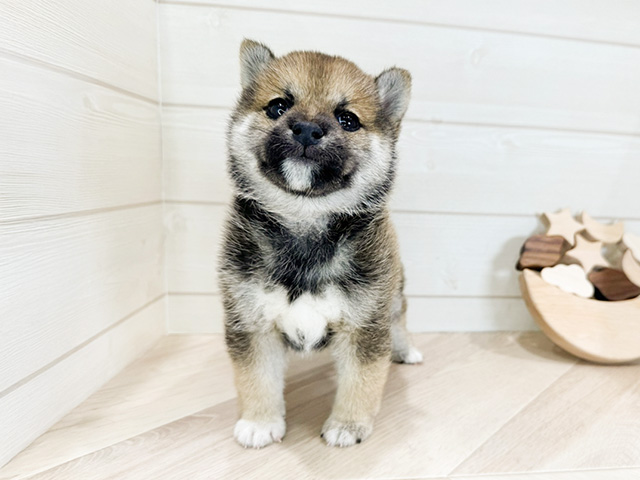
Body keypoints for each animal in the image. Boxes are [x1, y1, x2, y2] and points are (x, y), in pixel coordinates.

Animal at [218, 39, 422, 448]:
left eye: (348, 119)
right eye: (277, 106)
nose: (307, 129)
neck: (305, 222)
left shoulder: (364, 325)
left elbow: (360, 383)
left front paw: (348, 425)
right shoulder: (250, 321)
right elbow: (256, 379)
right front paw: (260, 421)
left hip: (391, 297)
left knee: (399, 321)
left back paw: (406, 350)